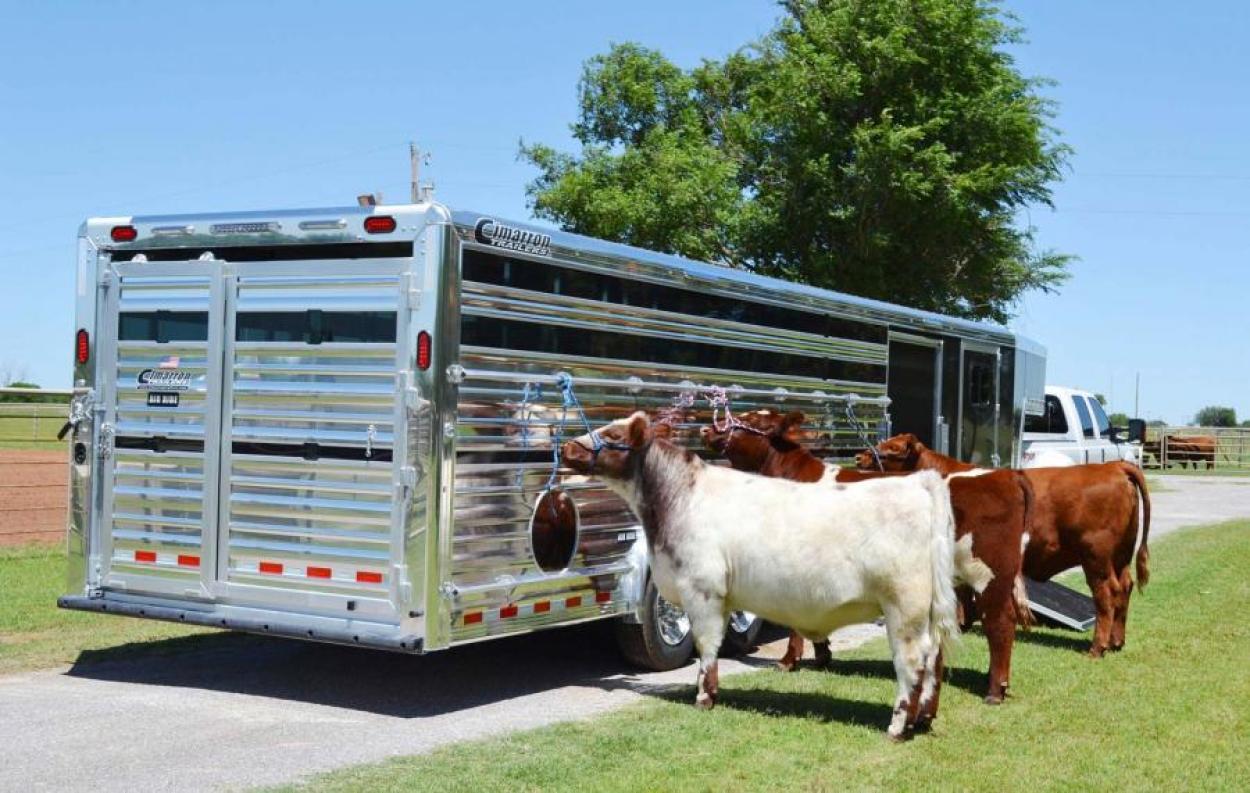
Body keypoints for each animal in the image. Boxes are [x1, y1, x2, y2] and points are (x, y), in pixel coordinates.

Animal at [705, 410, 1035, 700]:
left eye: (750, 420)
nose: (707, 428)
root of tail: (1005, 476)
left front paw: (789, 661)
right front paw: (822, 654)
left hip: (989, 570)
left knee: (1000, 623)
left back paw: (995, 690)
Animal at [865, 432, 1145, 655]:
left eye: (893, 449)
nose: (861, 457)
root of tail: (1114, 467)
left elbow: (961, 592)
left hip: (1096, 557)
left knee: (1106, 594)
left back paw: (1098, 647)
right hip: (1120, 556)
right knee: (1125, 587)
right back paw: (1117, 642)